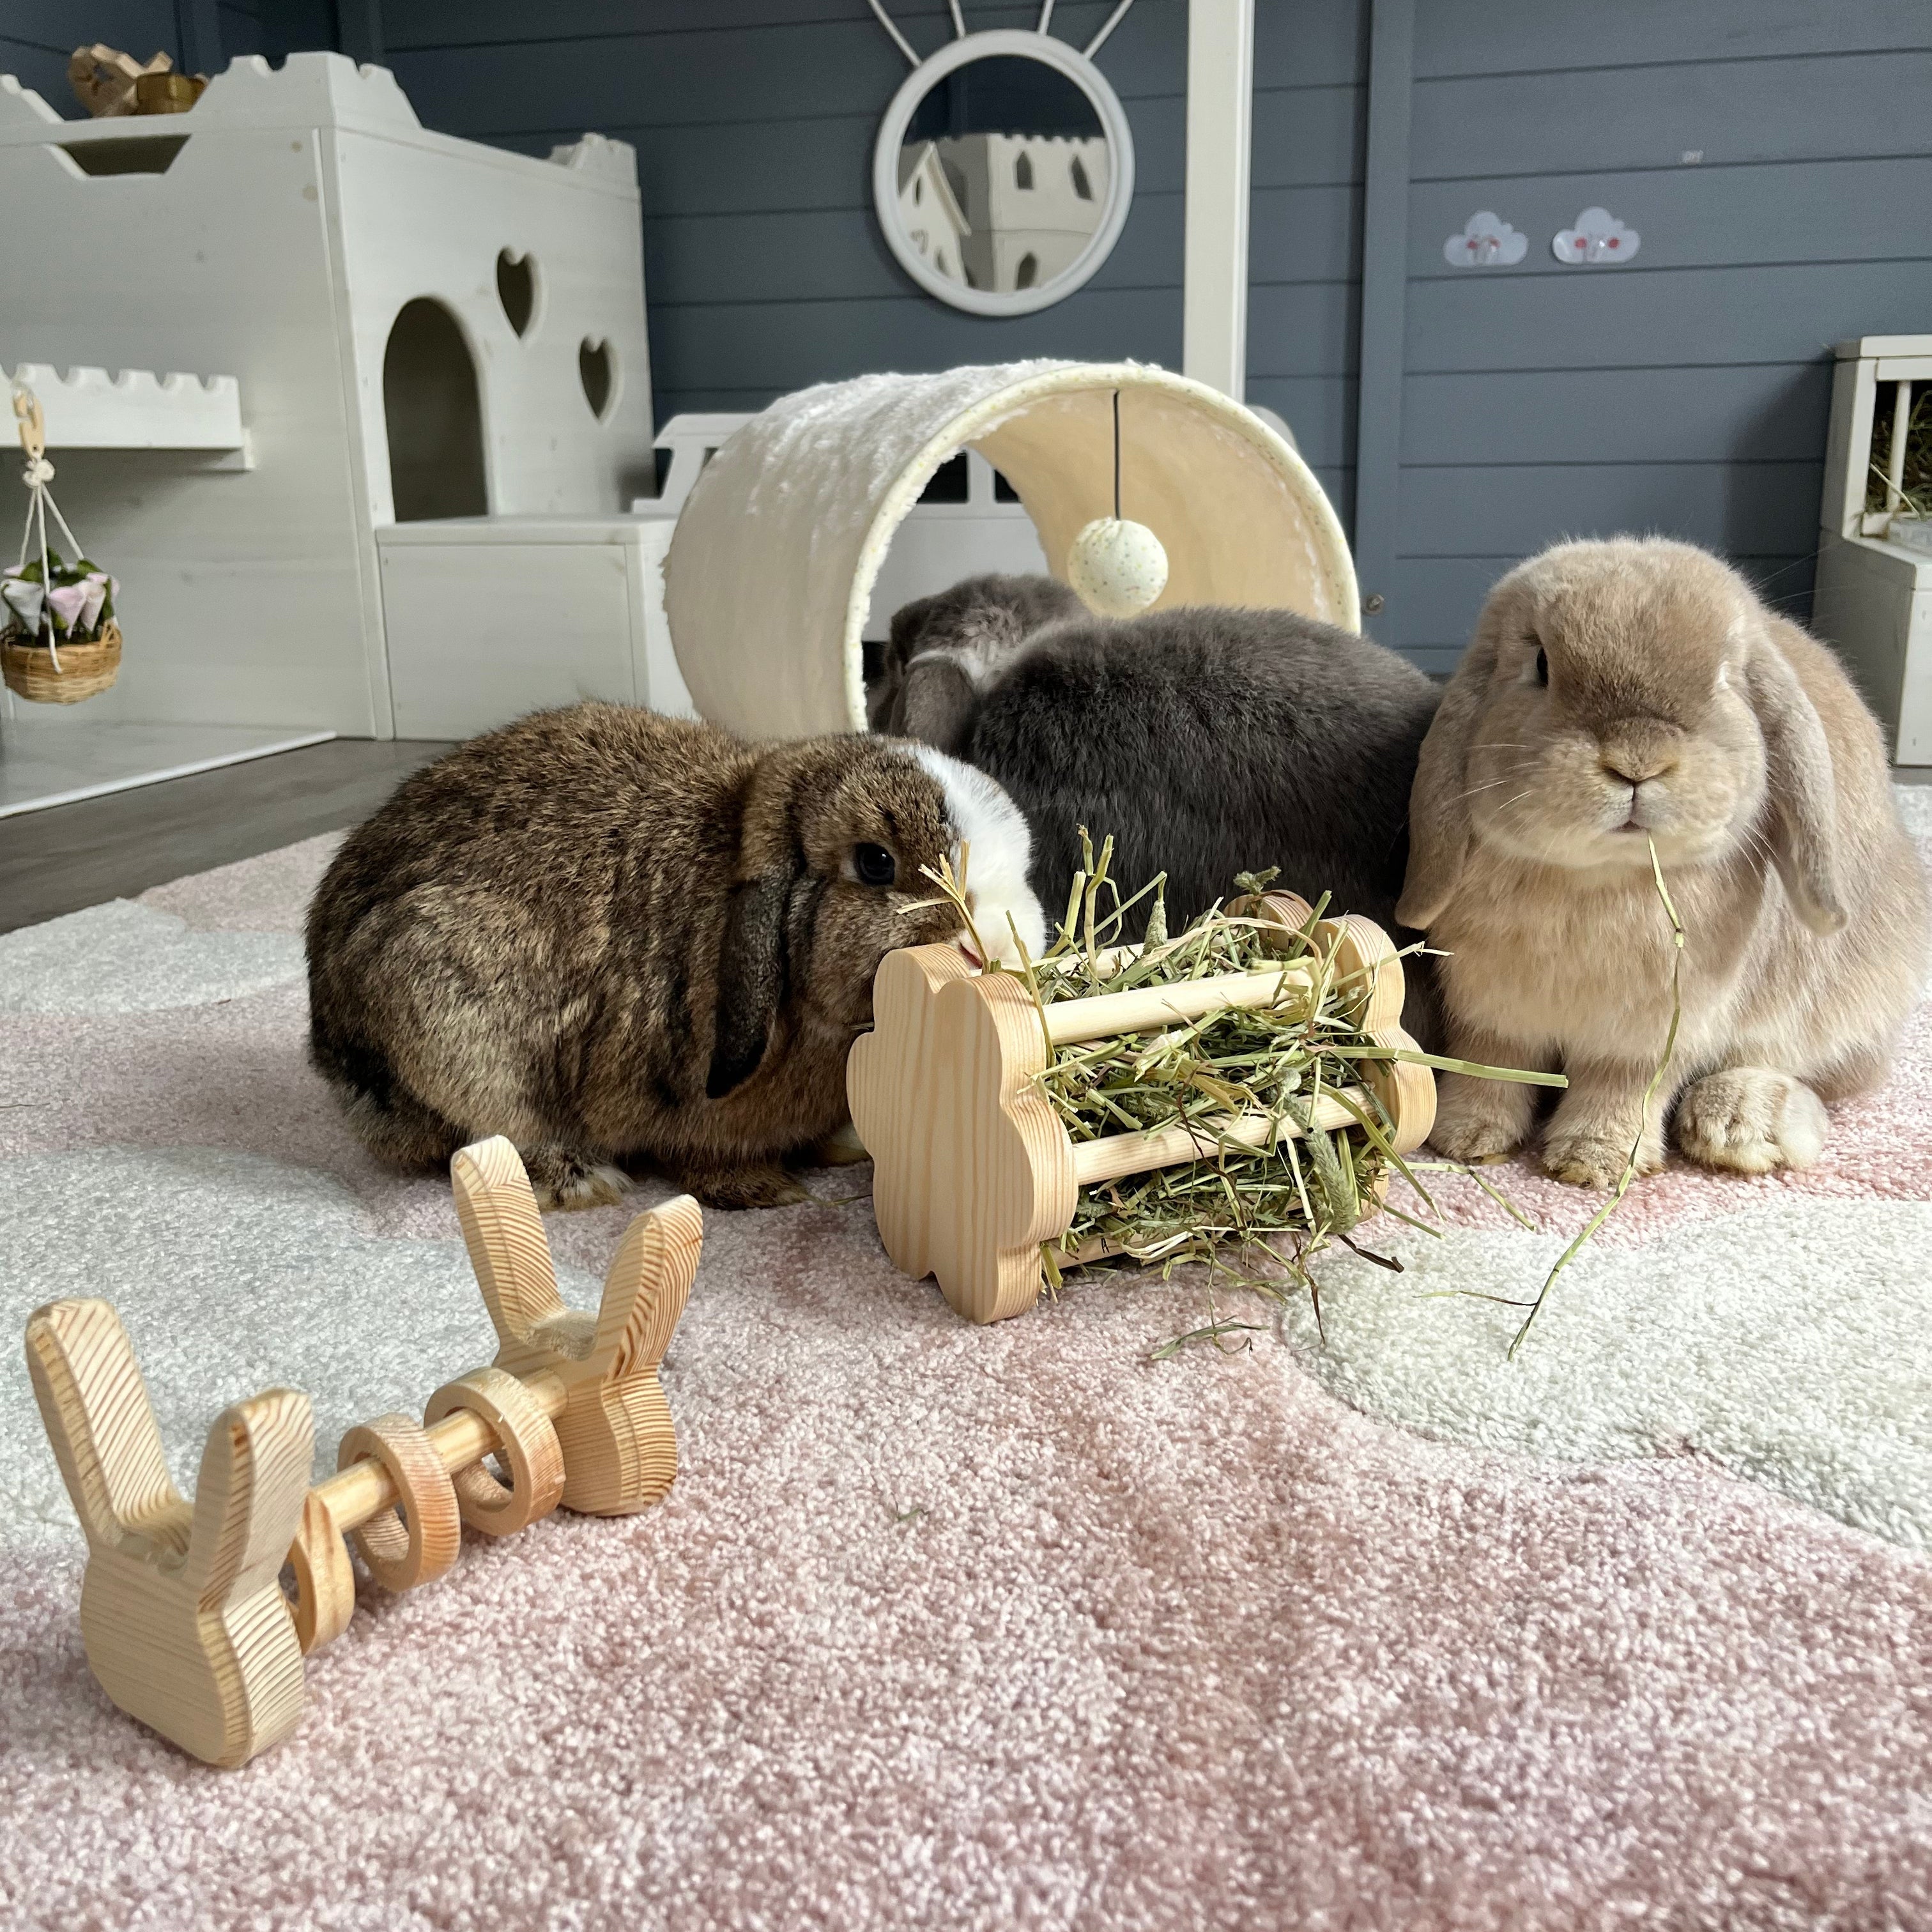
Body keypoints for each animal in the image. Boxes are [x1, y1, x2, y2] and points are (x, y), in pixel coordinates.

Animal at [307, 702, 1047, 1210]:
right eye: (876, 863)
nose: (993, 945)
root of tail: (327, 1044)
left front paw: (837, 1149)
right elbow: (699, 1155)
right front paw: (765, 1191)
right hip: (446, 1015)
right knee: (500, 1134)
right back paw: (583, 1180)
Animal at [1398, 536, 1930, 1188]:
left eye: (1725, 679)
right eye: (1542, 665)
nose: (1638, 760)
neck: (1597, 880)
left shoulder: (1648, 1037)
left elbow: (1622, 1087)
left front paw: (1594, 1162)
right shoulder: (1491, 1015)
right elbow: (1492, 1065)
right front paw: (1465, 1138)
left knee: (1810, 1076)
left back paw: (1740, 1126)